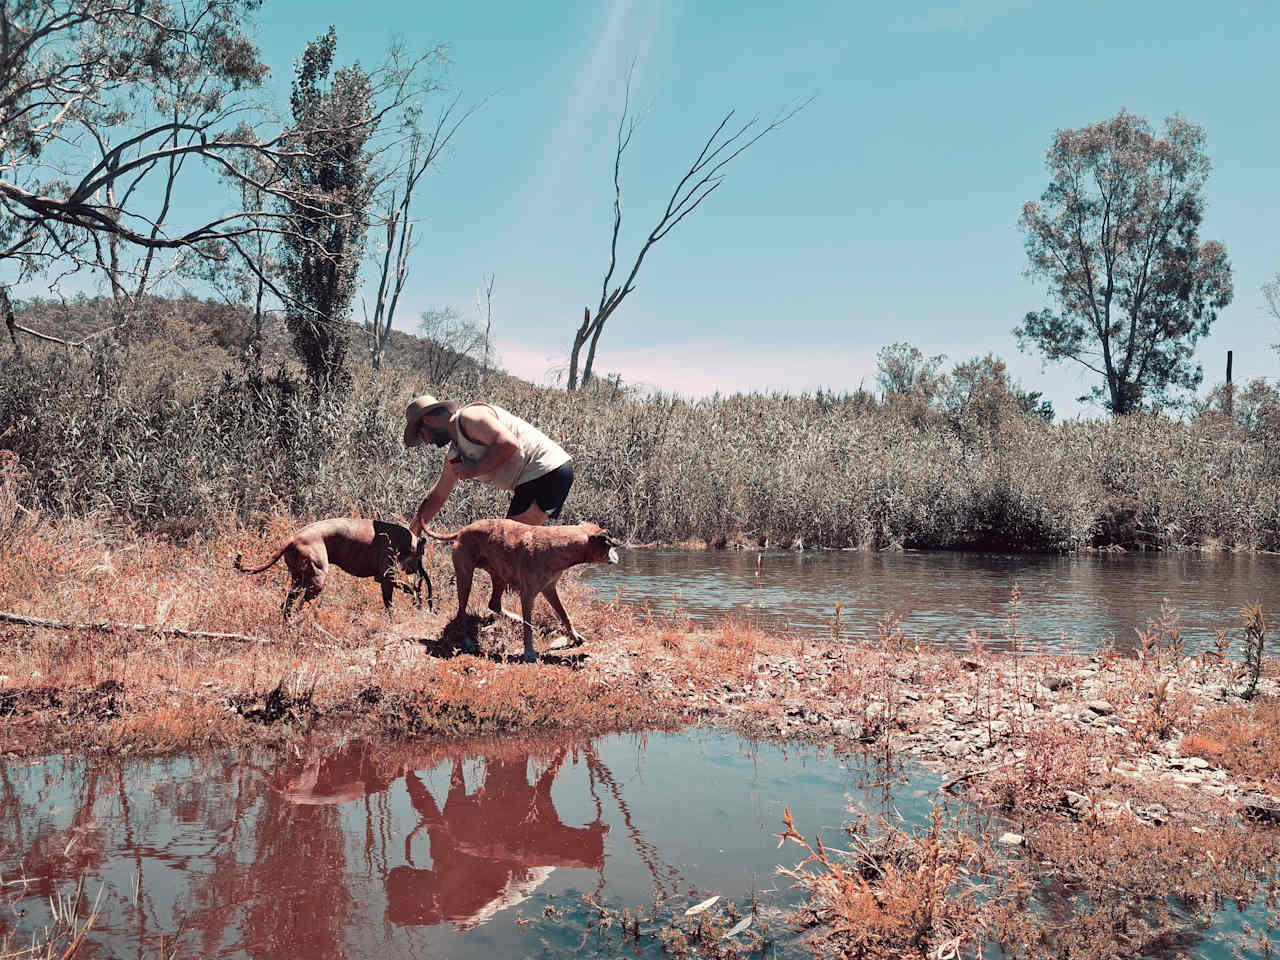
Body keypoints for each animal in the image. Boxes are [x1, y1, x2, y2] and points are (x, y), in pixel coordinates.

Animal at [240, 519, 435, 616]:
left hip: (298, 581)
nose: (421, 571)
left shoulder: (385, 580)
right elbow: (399, 599)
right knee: (299, 608)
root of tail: (293, 537)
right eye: (421, 556)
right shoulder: (386, 578)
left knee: (286, 607)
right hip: (315, 582)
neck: (406, 541)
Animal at [427, 519, 622, 660]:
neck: (558, 544)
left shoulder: (549, 589)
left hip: (499, 577)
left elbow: (564, 615)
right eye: (608, 539)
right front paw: (529, 652)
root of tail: (462, 531)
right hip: (465, 578)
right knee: (462, 612)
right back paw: (467, 640)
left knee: (494, 604)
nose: (618, 543)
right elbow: (528, 627)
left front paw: (575, 636)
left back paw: (515, 618)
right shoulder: (528, 595)